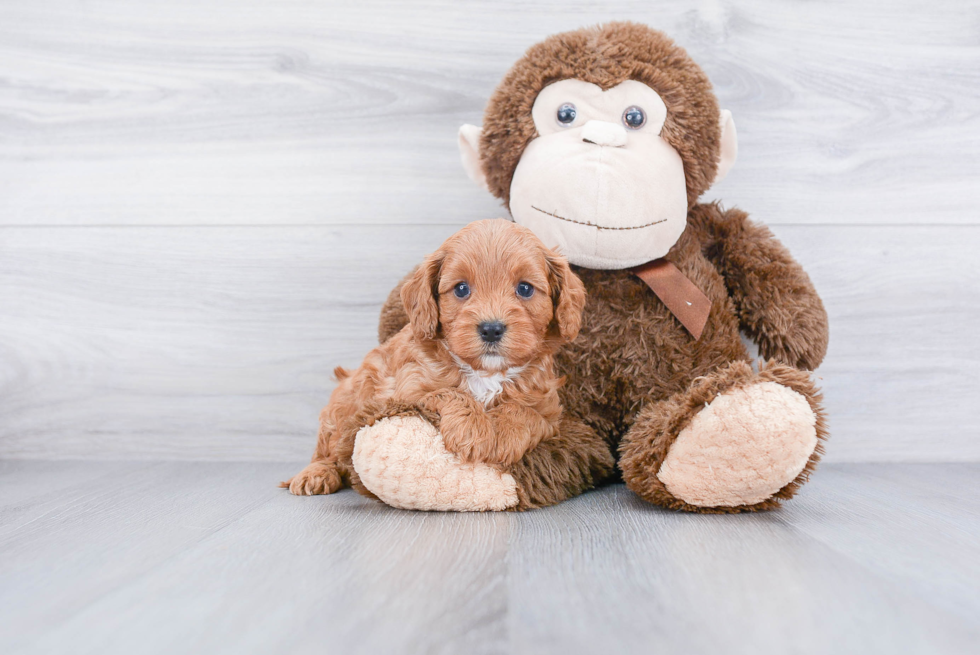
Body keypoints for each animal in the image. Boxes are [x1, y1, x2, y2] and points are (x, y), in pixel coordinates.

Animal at [286, 220, 588, 498]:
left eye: (525, 289)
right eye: (461, 289)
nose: (491, 328)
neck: (486, 373)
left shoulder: (550, 411)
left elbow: (526, 411)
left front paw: (504, 434)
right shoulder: (405, 391)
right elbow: (450, 393)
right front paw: (472, 431)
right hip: (343, 406)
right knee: (328, 448)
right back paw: (316, 474)